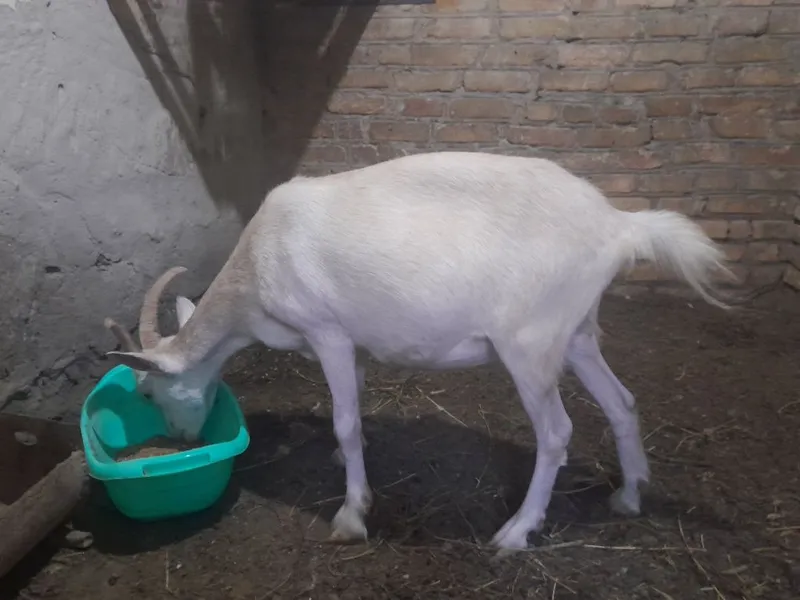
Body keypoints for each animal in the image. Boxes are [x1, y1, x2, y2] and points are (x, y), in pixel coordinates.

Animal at [104, 151, 731, 552]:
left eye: (148, 390)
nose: (180, 440)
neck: (257, 266)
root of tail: (618, 226)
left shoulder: (328, 331)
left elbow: (344, 420)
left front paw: (352, 514)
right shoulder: (355, 344)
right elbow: (355, 409)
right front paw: (348, 467)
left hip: (529, 341)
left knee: (557, 431)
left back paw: (516, 533)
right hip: (575, 330)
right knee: (621, 401)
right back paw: (629, 495)